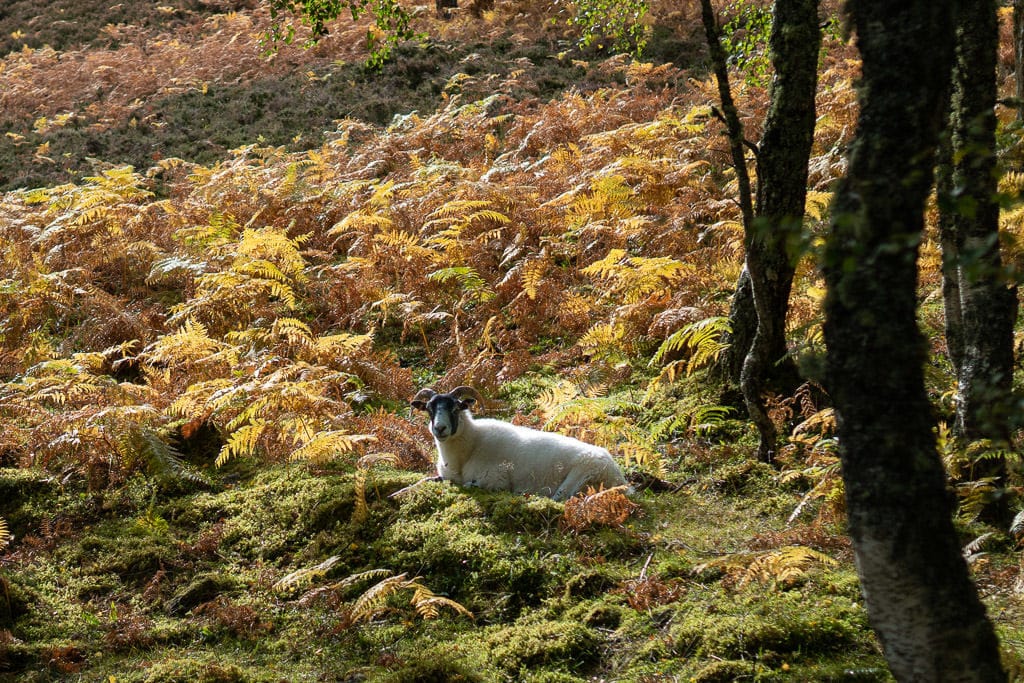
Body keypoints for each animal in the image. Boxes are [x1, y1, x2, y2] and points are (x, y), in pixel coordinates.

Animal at [407, 385, 622, 501]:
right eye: (429, 409)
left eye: (455, 408)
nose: (440, 429)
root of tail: (620, 479)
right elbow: (425, 481)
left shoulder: (495, 480)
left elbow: (469, 485)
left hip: (577, 479)